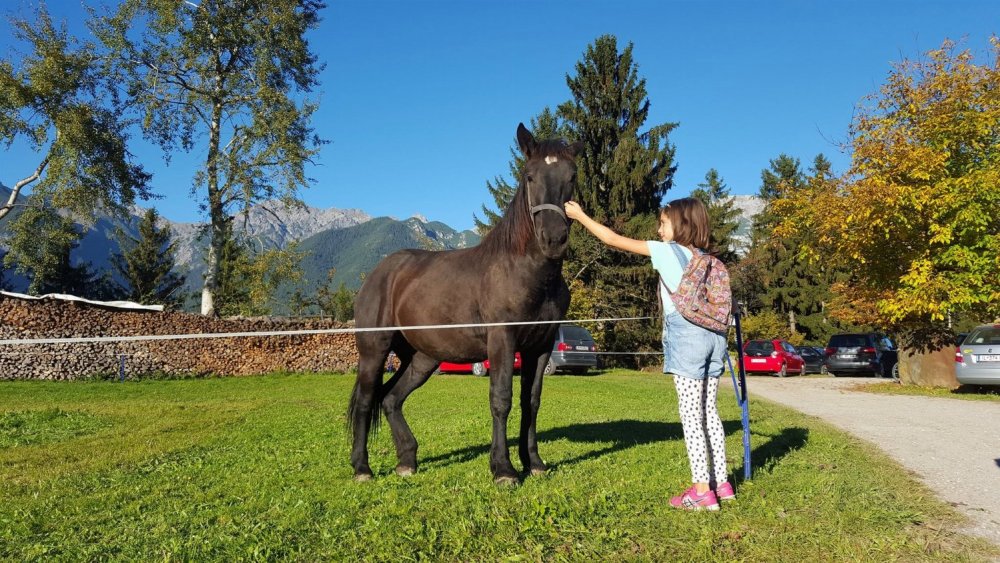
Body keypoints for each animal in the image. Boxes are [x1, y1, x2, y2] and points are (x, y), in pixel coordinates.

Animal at [348, 123, 583, 484]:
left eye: (572, 175)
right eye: (529, 176)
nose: (553, 239)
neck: (526, 272)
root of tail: (380, 272)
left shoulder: (540, 346)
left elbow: (531, 401)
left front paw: (534, 463)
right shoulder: (502, 339)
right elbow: (501, 399)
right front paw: (503, 469)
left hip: (423, 358)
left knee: (390, 399)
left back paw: (407, 461)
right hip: (374, 349)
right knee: (365, 400)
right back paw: (362, 467)